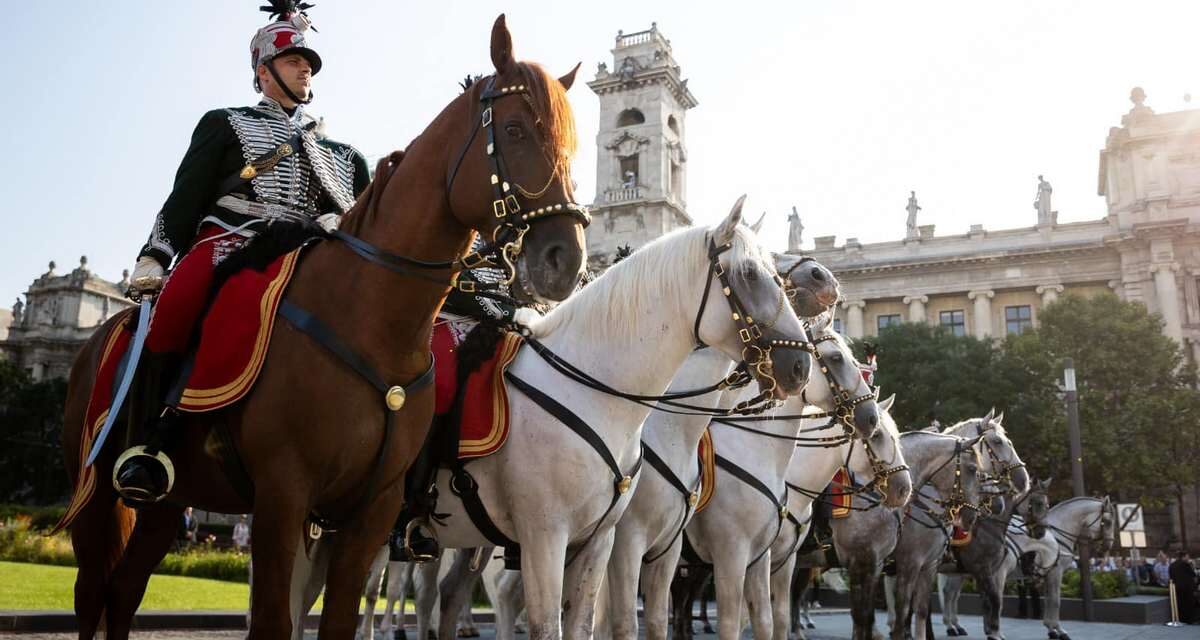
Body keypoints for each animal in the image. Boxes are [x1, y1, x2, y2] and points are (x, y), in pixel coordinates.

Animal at [63, 16, 588, 638]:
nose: (564, 259)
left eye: (570, 143)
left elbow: (340, 617)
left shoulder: (370, 512)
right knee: (93, 593)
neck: (373, 322)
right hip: (99, 494)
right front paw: (148, 266)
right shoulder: (283, 496)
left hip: (170, 504)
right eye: (513, 129)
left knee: (123, 592)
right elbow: (273, 619)